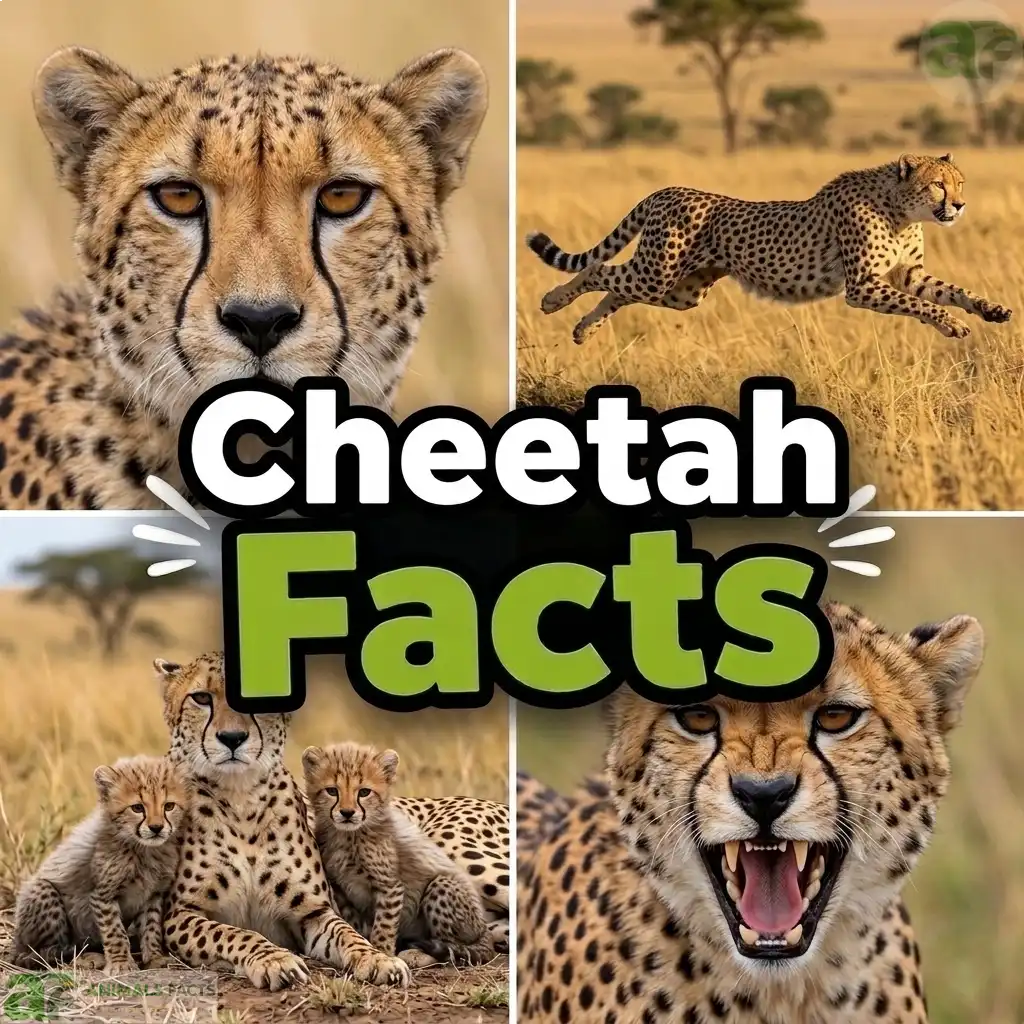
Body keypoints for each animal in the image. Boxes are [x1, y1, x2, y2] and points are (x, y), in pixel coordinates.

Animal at [11, 754, 189, 975]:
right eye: (138, 808)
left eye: (169, 806)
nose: (156, 828)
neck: (142, 848)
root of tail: (15, 944)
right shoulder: (102, 895)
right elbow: (115, 931)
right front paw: (121, 963)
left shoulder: (153, 895)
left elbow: (151, 926)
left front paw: (154, 957)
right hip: (43, 892)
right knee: (41, 953)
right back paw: (86, 957)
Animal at [303, 741, 498, 965]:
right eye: (332, 791)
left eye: (364, 792)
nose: (347, 813)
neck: (348, 836)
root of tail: (484, 929)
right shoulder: (339, 887)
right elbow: (352, 921)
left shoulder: (390, 886)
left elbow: (384, 925)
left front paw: (382, 954)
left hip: (442, 886)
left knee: (451, 944)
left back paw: (417, 954)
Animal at [526, 153, 1012, 346]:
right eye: (938, 185)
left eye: (961, 184)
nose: (960, 205)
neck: (901, 208)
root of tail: (669, 189)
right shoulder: (863, 286)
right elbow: (922, 304)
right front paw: (950, 323)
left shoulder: (906, 274)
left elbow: (949, 290)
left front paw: (989, 310)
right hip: (660, 272)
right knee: (599, 272)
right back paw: (553, 301)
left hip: (682, 291)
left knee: (618, 289)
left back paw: (583, 328)